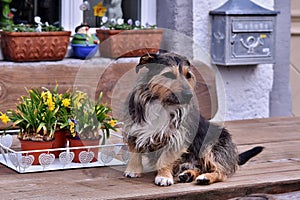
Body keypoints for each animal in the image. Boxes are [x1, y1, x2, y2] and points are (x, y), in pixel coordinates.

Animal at [122, 52, 262, 187]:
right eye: (168, 74)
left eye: (188, 75)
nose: (189, 95)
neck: (162, 104)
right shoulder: (133, 129)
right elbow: (134, 152)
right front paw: (133, 170)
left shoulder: (177, 137)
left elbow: (165, 158)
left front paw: (164, 176)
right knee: (199, 167)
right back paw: (187, 175)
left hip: (211, 147)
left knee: (220, 172)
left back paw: (205, 178)